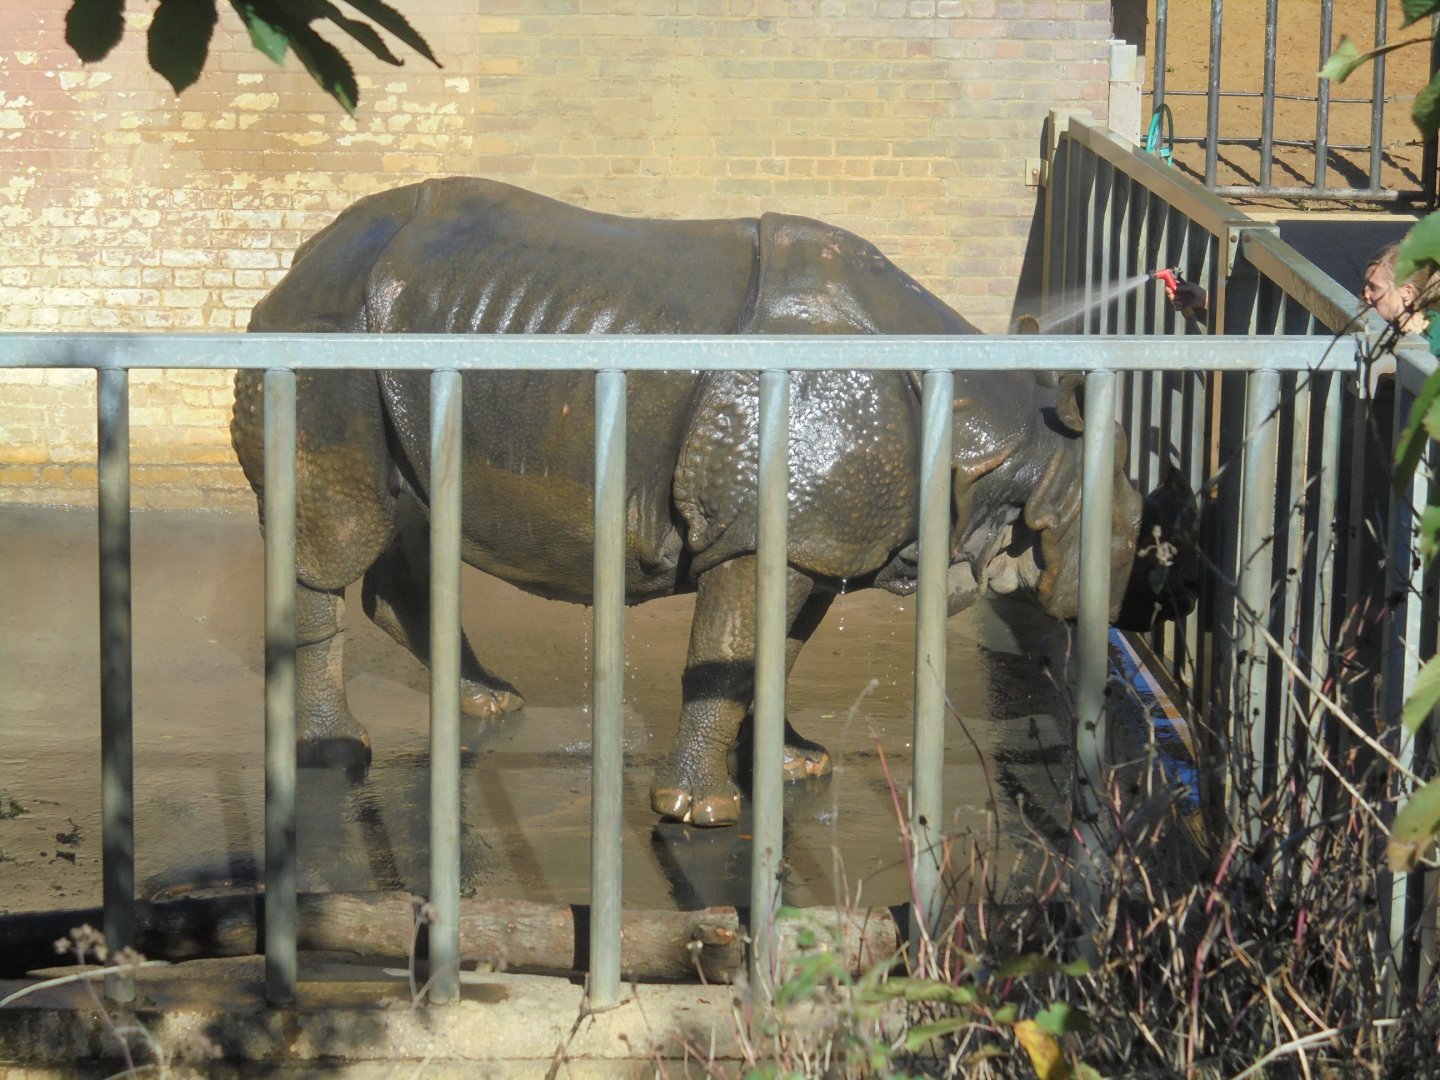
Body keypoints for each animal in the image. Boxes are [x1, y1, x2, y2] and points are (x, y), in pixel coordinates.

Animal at [231, 177, 1167, 828]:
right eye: (1128, 538)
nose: (1138, 618)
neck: (1011, 436)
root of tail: (298, 258)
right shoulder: (771, 526)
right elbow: (730, 653)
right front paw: (701, 815)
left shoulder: (811, 535)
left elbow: (771, 655)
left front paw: (798, 768)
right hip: (326, 337)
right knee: (342, 527)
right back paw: (337, 751)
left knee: (408, 524)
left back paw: (490, 704)